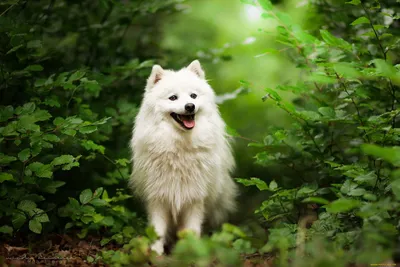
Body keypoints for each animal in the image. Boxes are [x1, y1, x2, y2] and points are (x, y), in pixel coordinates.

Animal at [130, 59, 238, 254]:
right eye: (173, 98)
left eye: (193, 96)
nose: (190, 106)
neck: (179, 146)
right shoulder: (158, 196)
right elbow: (158, 230)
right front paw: (156, 253)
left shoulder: (194, 198)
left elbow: (192, 229)